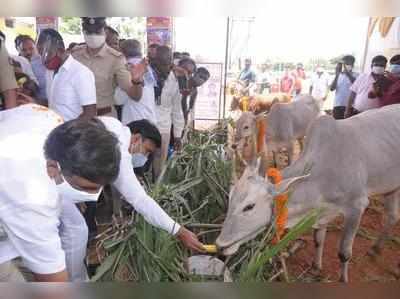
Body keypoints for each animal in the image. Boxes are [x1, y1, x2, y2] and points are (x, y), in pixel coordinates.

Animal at [217, 104, 400, 282]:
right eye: (229, 199)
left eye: (249, 207)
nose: (219, 245)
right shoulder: (321, 211)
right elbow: (318, 240)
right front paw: (316, 267)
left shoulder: (357, 207)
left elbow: (344, 254)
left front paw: (343, 280)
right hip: (392, 187)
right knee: (392, 216)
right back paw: (375, 248)